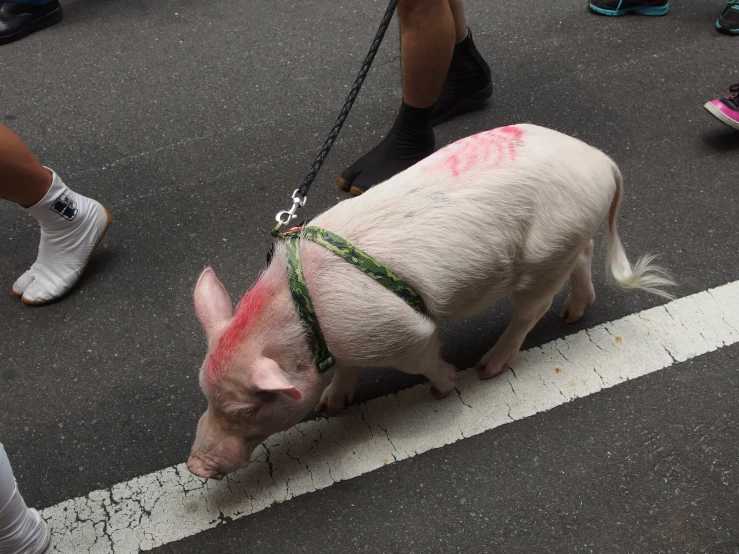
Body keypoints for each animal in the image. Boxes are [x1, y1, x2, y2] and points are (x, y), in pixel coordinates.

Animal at [186, 123, 676, 476]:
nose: (195, 467)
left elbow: (423, 361)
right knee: (585, 255)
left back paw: (488, 367)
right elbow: (347, 370)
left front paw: (447, 386)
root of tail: (602, 161)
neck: (308, 325)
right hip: (567, 242)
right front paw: (330, 407)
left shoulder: (404, 333)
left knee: (531, 311)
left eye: (245, 408)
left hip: (545, 255)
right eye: (206, 395)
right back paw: (574, 315)